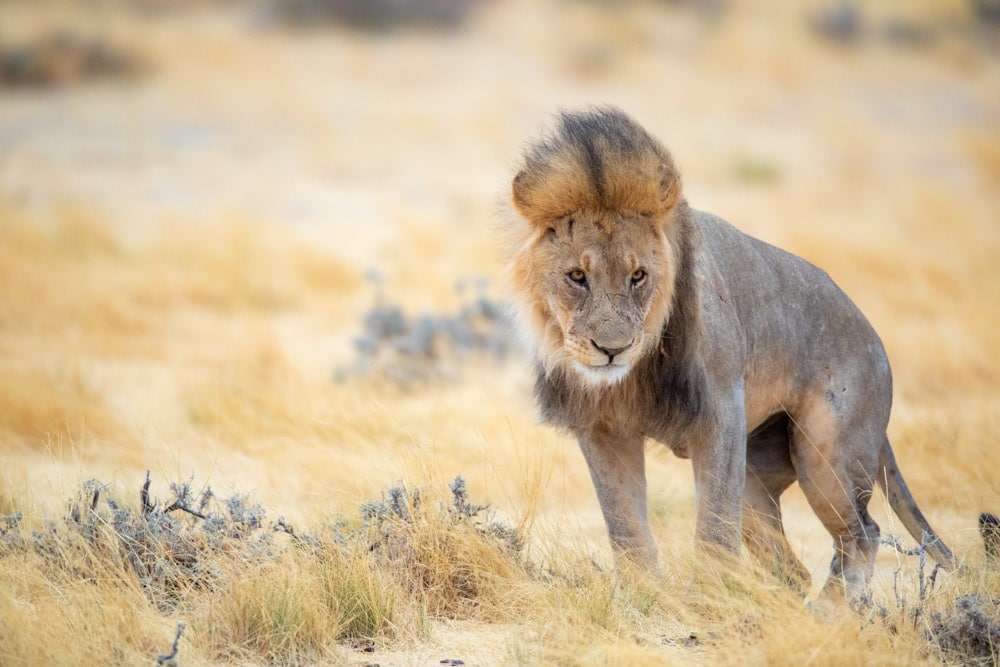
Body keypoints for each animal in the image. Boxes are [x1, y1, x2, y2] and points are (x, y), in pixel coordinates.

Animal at [504, 105, 956, 600]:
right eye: (576, 276)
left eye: (638, 275)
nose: (612, 349)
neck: (631, 376)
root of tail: (874, 337)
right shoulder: (603, 429)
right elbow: (626, 527)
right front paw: (642, 597)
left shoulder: (720, 413)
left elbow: (714, 530)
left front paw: (707, 601)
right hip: (756, 476)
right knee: (792, 568)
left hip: (827, 453)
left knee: (861, 534)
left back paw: (831, 611)